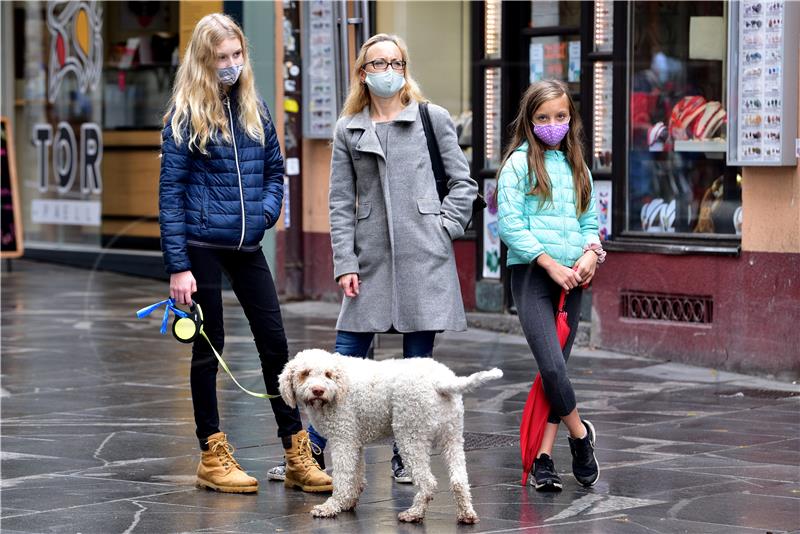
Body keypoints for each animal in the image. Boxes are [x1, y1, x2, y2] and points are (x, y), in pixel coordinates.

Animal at [278, 350, 504, 524]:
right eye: (305, 373)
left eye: (328, 374)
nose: (318, 390)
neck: (340, 386)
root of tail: (442, 382)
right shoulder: (354, 441)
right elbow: (356, 475)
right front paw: (349, 502)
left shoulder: (343, 440)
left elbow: (343, 478)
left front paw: (331, 507)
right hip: (453, 437)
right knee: (459, 480)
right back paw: (466, 515)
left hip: (410, 437)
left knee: (428, 482)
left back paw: (414, 514)